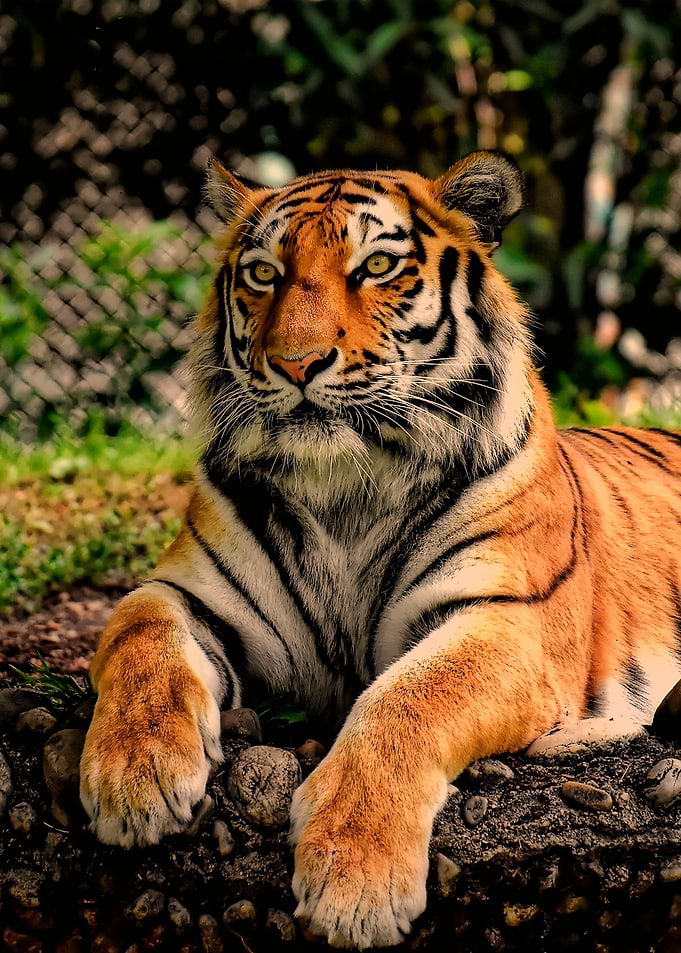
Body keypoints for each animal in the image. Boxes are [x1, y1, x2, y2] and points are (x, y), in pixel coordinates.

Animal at [80, 150, 681, 949]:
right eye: (264, 273)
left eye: (376, 265)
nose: (296, 362)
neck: (346, 487)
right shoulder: (188, 590)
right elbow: (139, 637)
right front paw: (136, 777)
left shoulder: (506, 618)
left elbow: (408, 698)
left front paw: (353, 882)